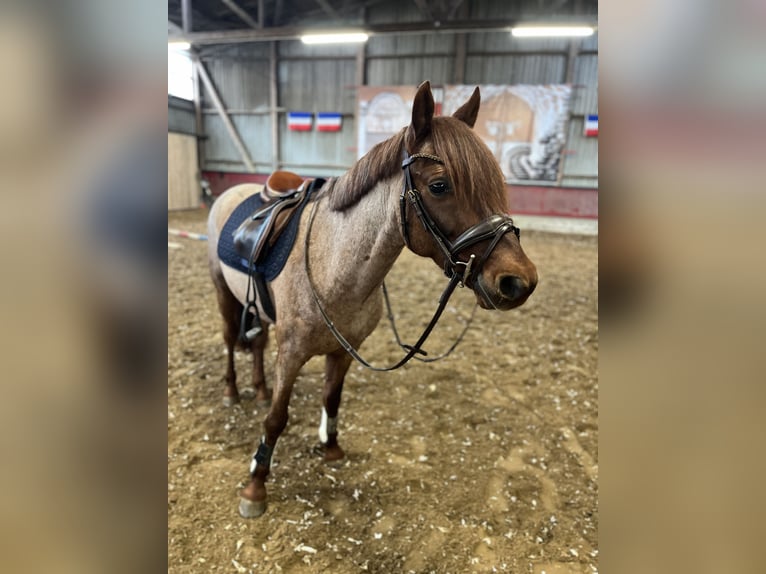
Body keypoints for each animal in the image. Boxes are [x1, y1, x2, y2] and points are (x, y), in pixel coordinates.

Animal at [206, 80, 540, 516]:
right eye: (439, 186)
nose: (520, 281)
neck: (334, 266)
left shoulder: (345, 351)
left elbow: (331, 399)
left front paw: (330, 448)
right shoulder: (292, 352)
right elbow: (277, 418)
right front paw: (255, 486)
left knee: (257, 341)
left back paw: (259, 388)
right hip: (222, 291)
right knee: (232, 338)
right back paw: (232, 391)